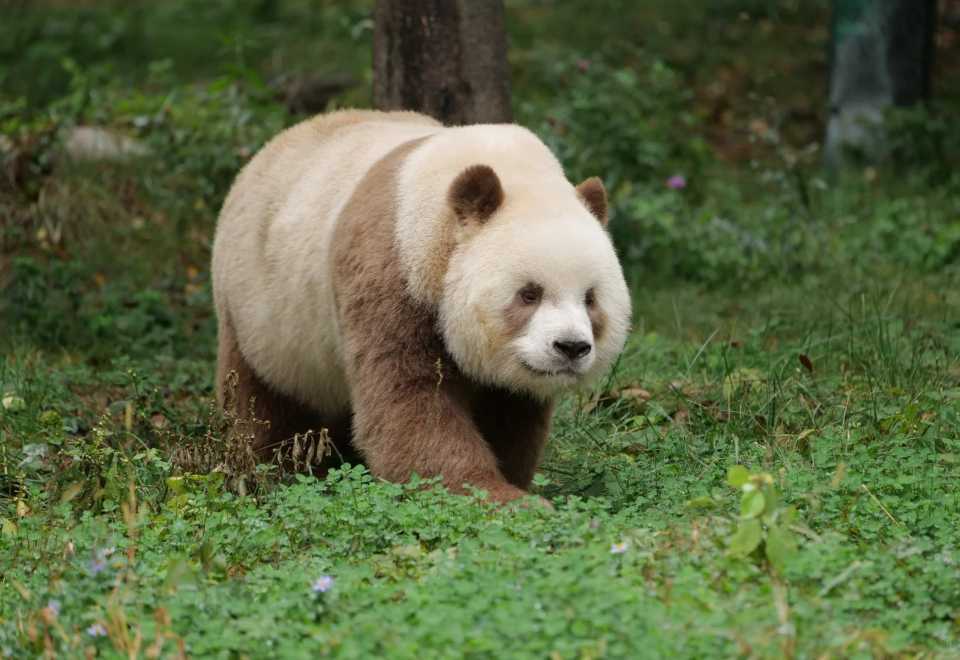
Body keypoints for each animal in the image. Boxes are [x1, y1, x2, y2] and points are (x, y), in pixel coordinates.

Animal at [211, 109, 631, 503]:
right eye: (529, 293)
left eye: (590, 298)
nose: (571, 348)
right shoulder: (393, 273)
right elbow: (411, 401)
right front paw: (499, 497)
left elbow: (510, 415)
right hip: (261, 310)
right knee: (263, 403)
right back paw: (274, 473)